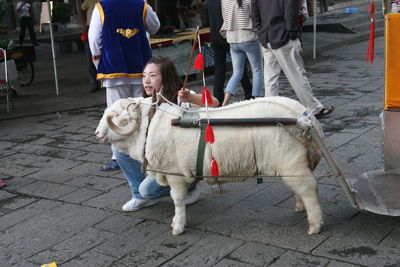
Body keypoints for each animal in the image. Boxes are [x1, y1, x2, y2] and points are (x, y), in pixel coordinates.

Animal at [97, 96, 324, 237]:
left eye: (115, 115)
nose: (97, 133)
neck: (150, 126)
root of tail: (305, 116)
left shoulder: (175, 175)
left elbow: (177, 200)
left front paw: (178, 226)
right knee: (301, 188)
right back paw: (300, 207)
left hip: (291, 161)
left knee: (309, 188)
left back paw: (315, 225)